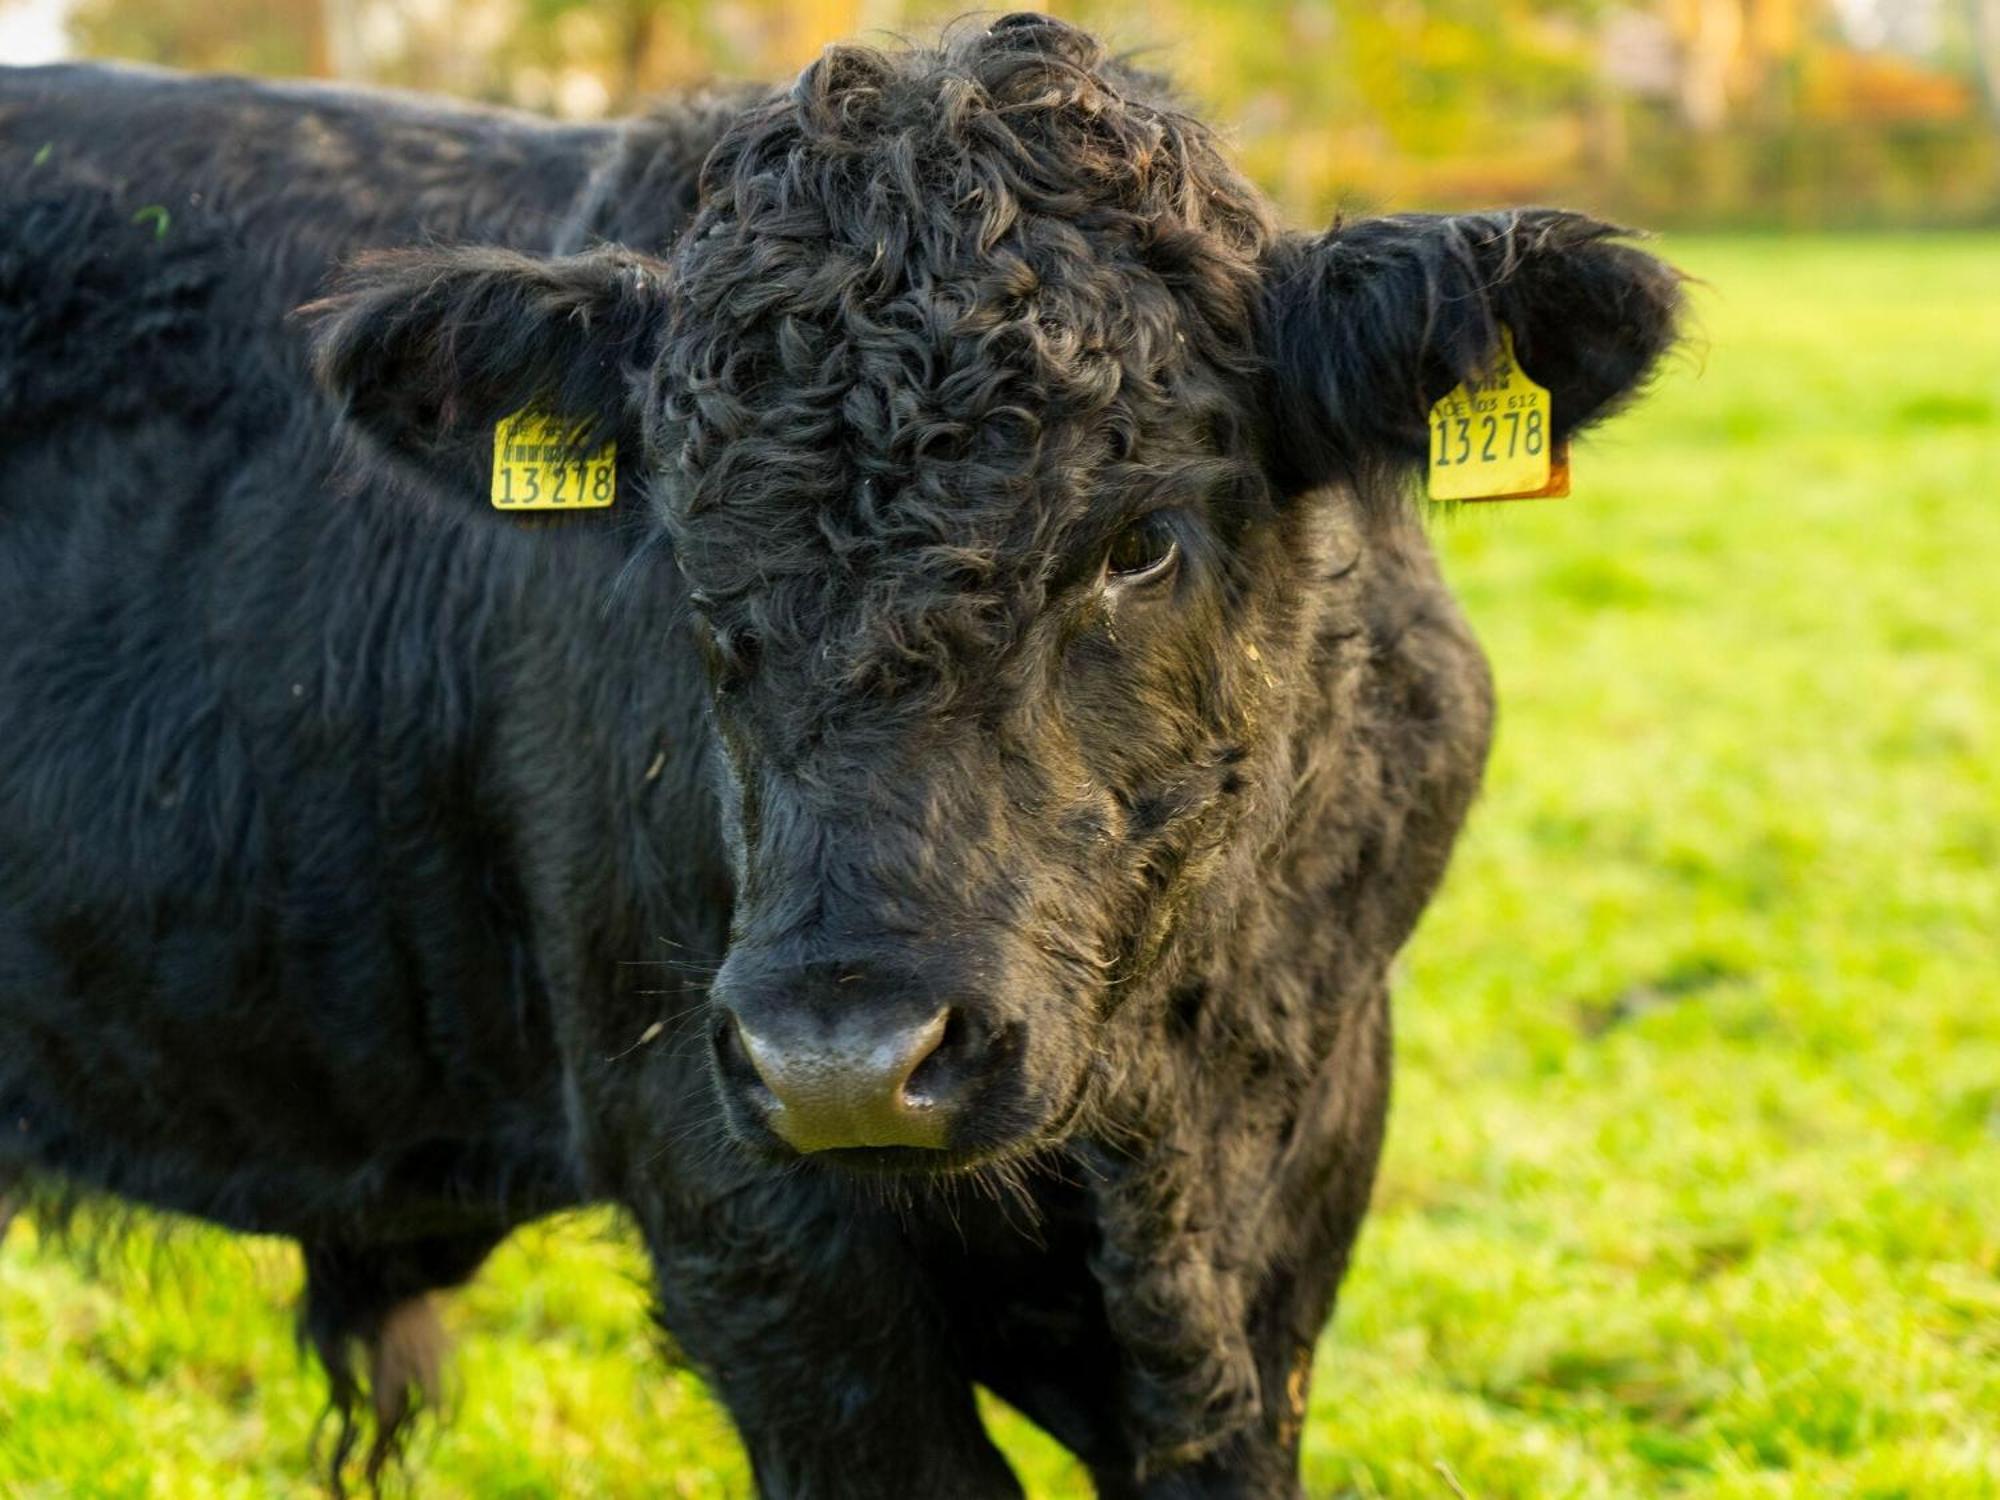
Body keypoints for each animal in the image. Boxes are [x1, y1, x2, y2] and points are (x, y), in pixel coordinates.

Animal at [0, 14, 1680, 1500]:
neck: (1152, 1127)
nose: (844, 1056)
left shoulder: (1295, 1202)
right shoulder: (738, 1210)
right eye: (686, 547)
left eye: (1143, 539)